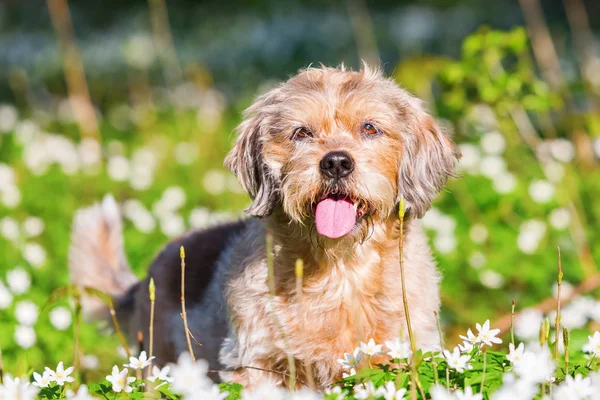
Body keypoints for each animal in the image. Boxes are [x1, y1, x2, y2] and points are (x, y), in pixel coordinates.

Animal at [67, 65, 460, 388]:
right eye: (301, 132)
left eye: (370, 128)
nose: (335, 162)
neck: (337, 269)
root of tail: (143, 280)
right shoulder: (254, 363)